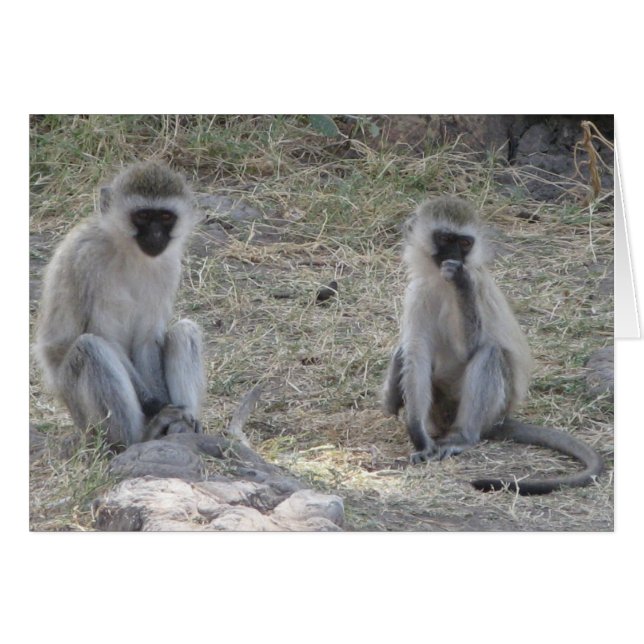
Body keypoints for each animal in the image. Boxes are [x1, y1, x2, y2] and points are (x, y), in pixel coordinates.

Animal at [34, 161, 206, 449]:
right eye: (143, 216)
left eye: (165, 217)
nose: (156, 235)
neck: (129, 251)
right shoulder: (87, 258)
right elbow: (106, 336)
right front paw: (158, 407)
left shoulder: (169, 267)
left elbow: (147, 339)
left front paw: (171, 409)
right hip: (81, 413)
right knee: (90, 347)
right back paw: (140, 437)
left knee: (185, 330)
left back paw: (180, 428)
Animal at [382, 196, 603, 495]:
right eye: (445, 238)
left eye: (465, 243)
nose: (455, 257)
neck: (440, 283)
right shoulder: (418, 292)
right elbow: (416, 354)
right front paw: (418, 435)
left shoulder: (475, 286)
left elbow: (470, 347)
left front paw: (461, 280)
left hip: (495, 408)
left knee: (490, 353)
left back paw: (462, 437)